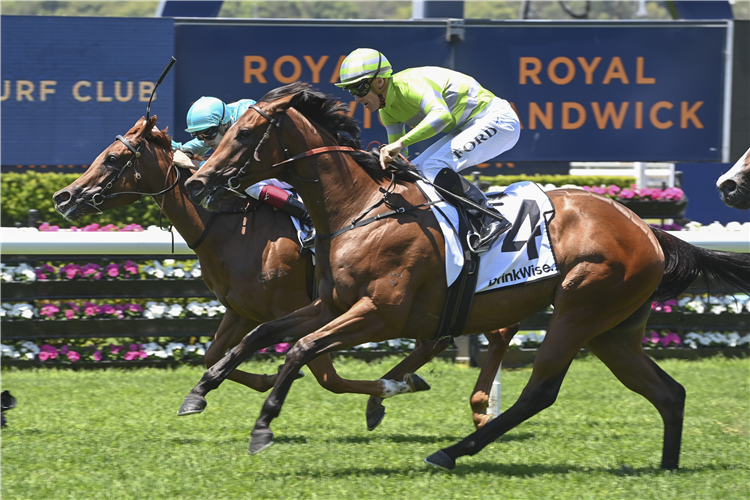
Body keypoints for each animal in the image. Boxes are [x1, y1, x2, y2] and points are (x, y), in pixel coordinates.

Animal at [53, 116, 502, 426]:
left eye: (112, 158)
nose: (63, 196)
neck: (229, 225)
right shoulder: (243, 310)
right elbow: (215, 354)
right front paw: (228, 387)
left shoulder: (299, 307)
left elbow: (326, 375)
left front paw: (385, 388)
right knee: (441, 337)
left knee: (484, 332)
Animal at [181, 82, 750, 468]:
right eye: (222, 133)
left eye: (245, 133)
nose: (198, 181)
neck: (359, 209)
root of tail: (646, 228)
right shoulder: (331, 304)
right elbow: (261, 333)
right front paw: (201, 390)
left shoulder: (379, 314)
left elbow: (299, 349)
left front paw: (263, 426)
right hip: (615, 329)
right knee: (667, 392)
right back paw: (667, 466)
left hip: (580, 308)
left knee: (539, 392)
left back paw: (452, 451)